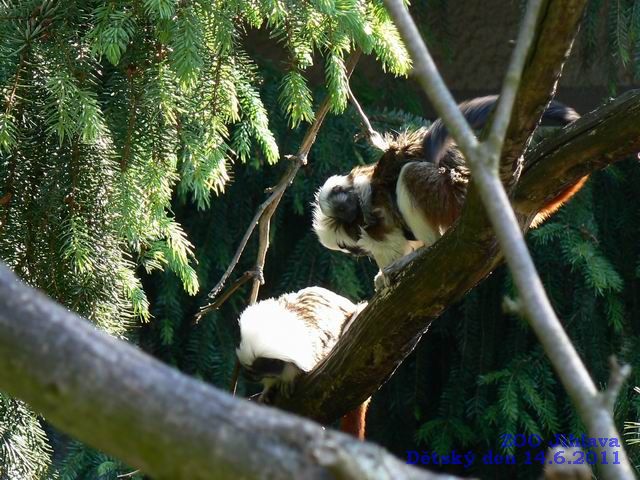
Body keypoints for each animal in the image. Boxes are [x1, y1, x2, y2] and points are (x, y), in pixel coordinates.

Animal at [312, 95, 588, 286]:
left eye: (348, 215)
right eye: (350, 249)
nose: (357, 251)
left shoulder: (373, 212)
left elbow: (392, 235)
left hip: (449, 197)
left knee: (411, 174)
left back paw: (426, 247)